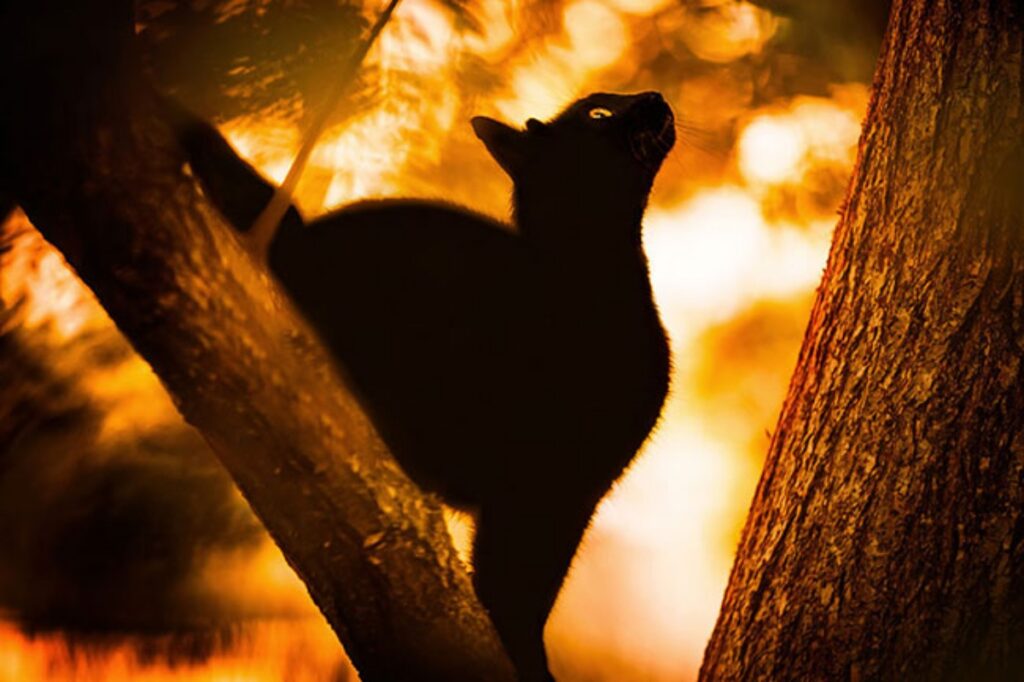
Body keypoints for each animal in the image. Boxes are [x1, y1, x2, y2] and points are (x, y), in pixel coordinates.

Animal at [172, 91, 675, 679]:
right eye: (597, 113)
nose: (654, 96)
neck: (590, 279)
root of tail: (301, 235)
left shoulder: (571, 490)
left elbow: (525, 588)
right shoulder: (537, 482)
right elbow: (512, 593)